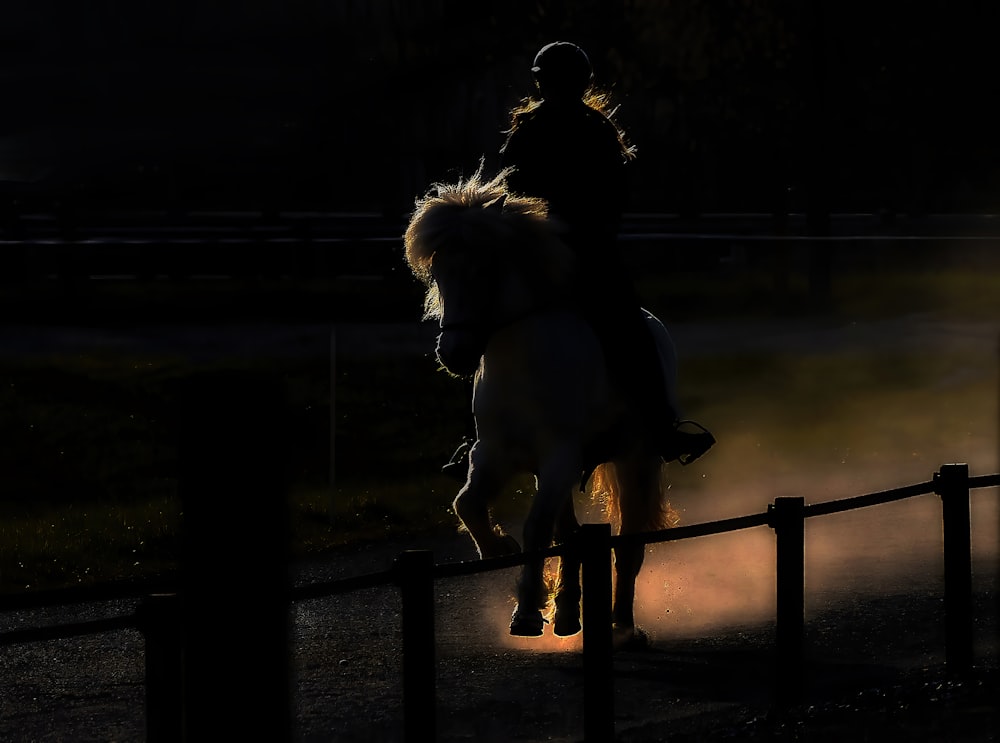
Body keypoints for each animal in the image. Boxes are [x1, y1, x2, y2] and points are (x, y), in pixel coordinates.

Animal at [398, 169, 688, 644]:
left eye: (483, 269)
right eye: (438, 272)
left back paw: (623, 627)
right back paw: (569, 612)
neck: (524, 361)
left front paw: (528, 612)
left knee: (628, 540)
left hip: (636, 459)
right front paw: (499, 549)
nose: (454, 354)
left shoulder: (560, 456)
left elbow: (536, 528)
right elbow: (467, 504)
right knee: (568, 529)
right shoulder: (494, 455)